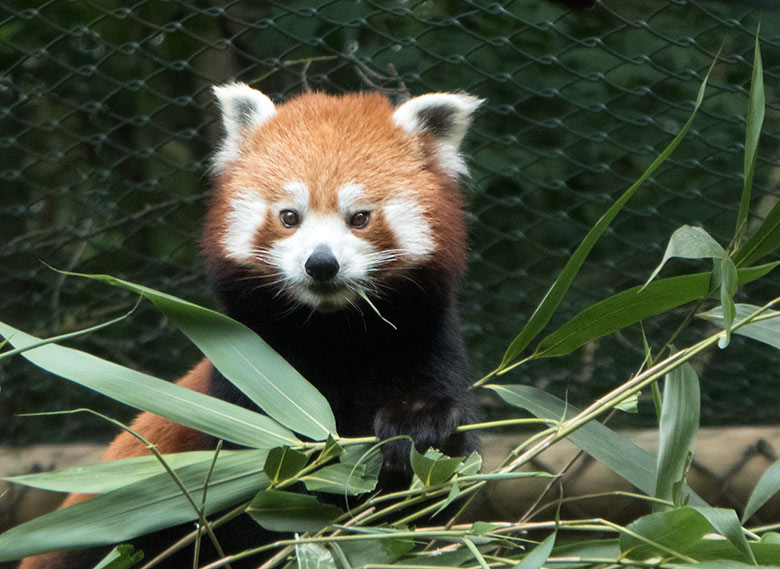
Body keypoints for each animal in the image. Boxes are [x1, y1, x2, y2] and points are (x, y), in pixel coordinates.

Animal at [16, 84, 482, 568]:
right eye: (289, 216)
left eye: (359, 217)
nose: (321, 263)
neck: (333, 334)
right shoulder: (244, 379)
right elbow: (259, 498)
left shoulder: (423, 342)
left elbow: (439, 484)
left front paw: (417, 426)